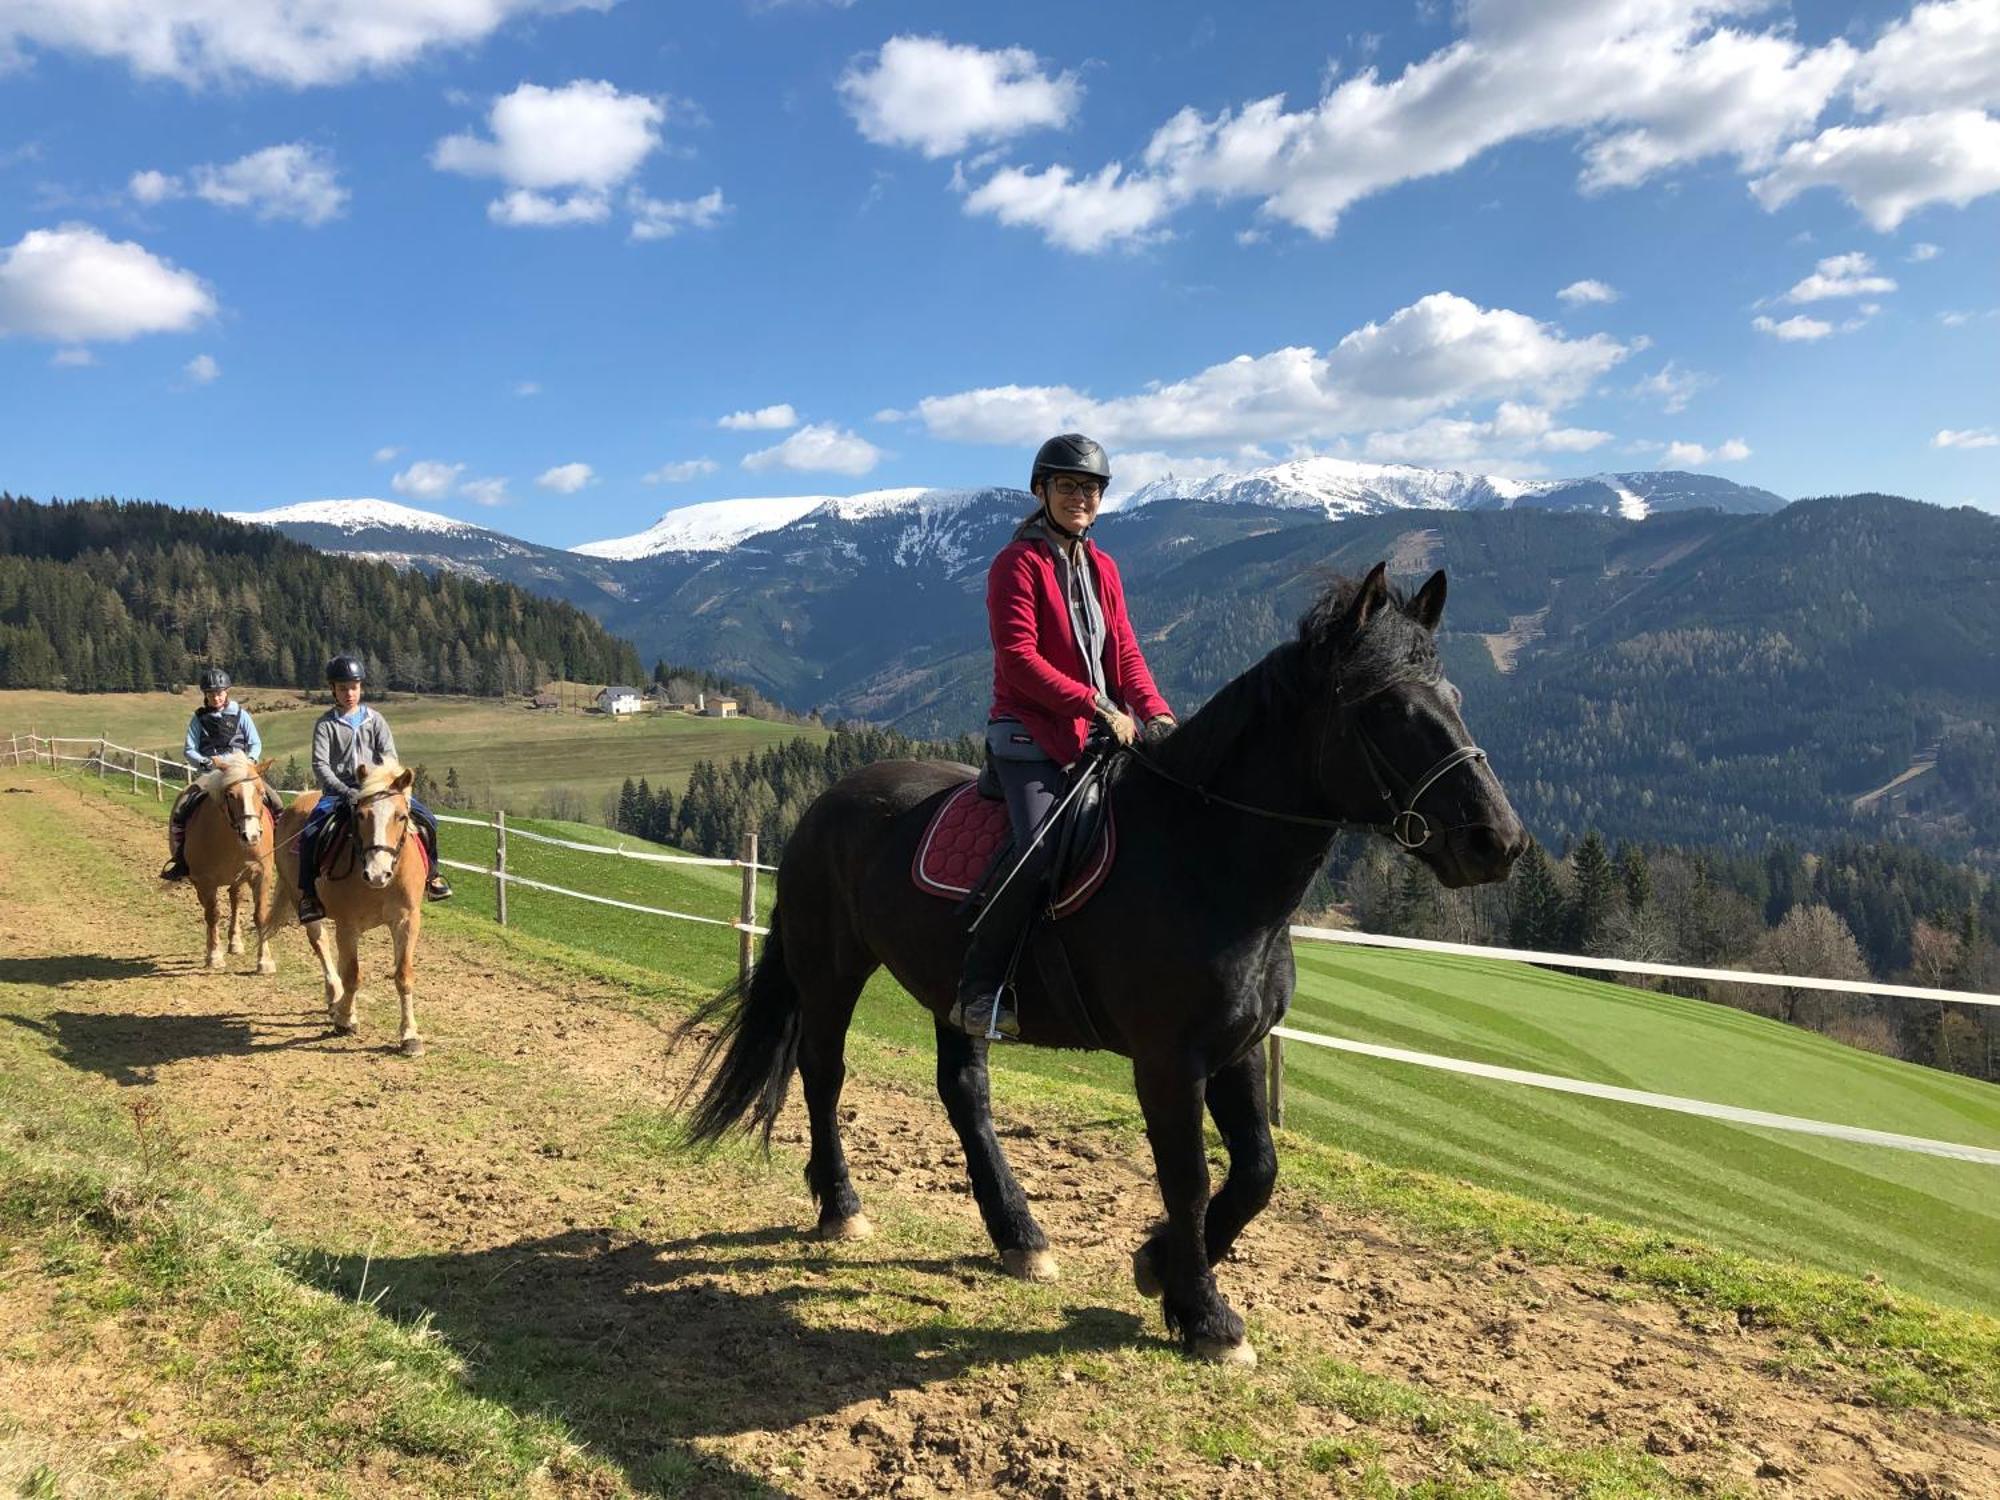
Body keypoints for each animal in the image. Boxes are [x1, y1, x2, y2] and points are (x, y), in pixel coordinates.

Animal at [184, 752, 280, 976]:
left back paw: (235, 943)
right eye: (230, 795)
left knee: (235, 900)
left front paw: (265, 961)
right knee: (210, 909)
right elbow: (213, 914)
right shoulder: (206, 881)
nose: (251, 835)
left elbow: (260, 916)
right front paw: (214, 956)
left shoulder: (261, 876)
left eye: (261, 793)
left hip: (238, 879)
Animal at [274, 764, 430, 1056]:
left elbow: (403, 976)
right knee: (321, 944)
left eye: (401, 816)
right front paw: (346, 1020)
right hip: (301, 900)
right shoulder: (348, 925)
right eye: (360, 815)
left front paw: (410, 1036)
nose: (378, 873)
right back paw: (335, 999)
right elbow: (352, 975)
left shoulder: (406, 921)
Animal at [676, 568, 1528, 1368]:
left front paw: (1160, 1268)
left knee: (964, 1092)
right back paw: (842, 1206)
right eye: (1387, 708)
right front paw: (1206, 1315)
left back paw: (1018, 1234)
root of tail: (826, 802)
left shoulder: (1238, 1049)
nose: (1498, 841)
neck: (1205, 859)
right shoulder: (1168, 1061)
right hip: (832, 970)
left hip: (958, 990)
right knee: (824, 1073)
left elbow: (1257, 1170)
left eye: (1453, 697)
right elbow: (1188, 1177)